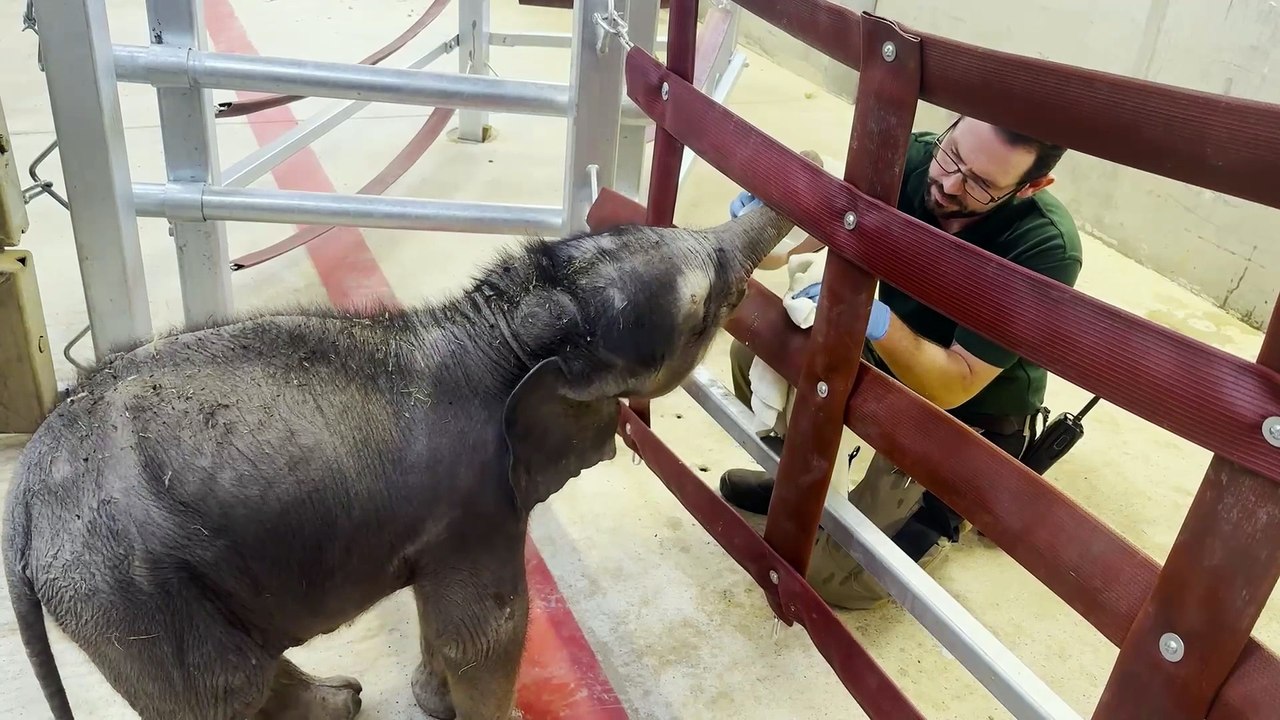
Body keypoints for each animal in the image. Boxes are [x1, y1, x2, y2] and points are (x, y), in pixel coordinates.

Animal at [2, 152, 820, 720]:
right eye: (705, 311)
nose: (807, 174)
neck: (505, 323)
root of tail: (25, 502)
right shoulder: (479, 501)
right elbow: (488, 628)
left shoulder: (446, 521)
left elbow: (443, 611)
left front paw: (434, 701)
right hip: (131, 595)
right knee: (222, 687)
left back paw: (342, 698)